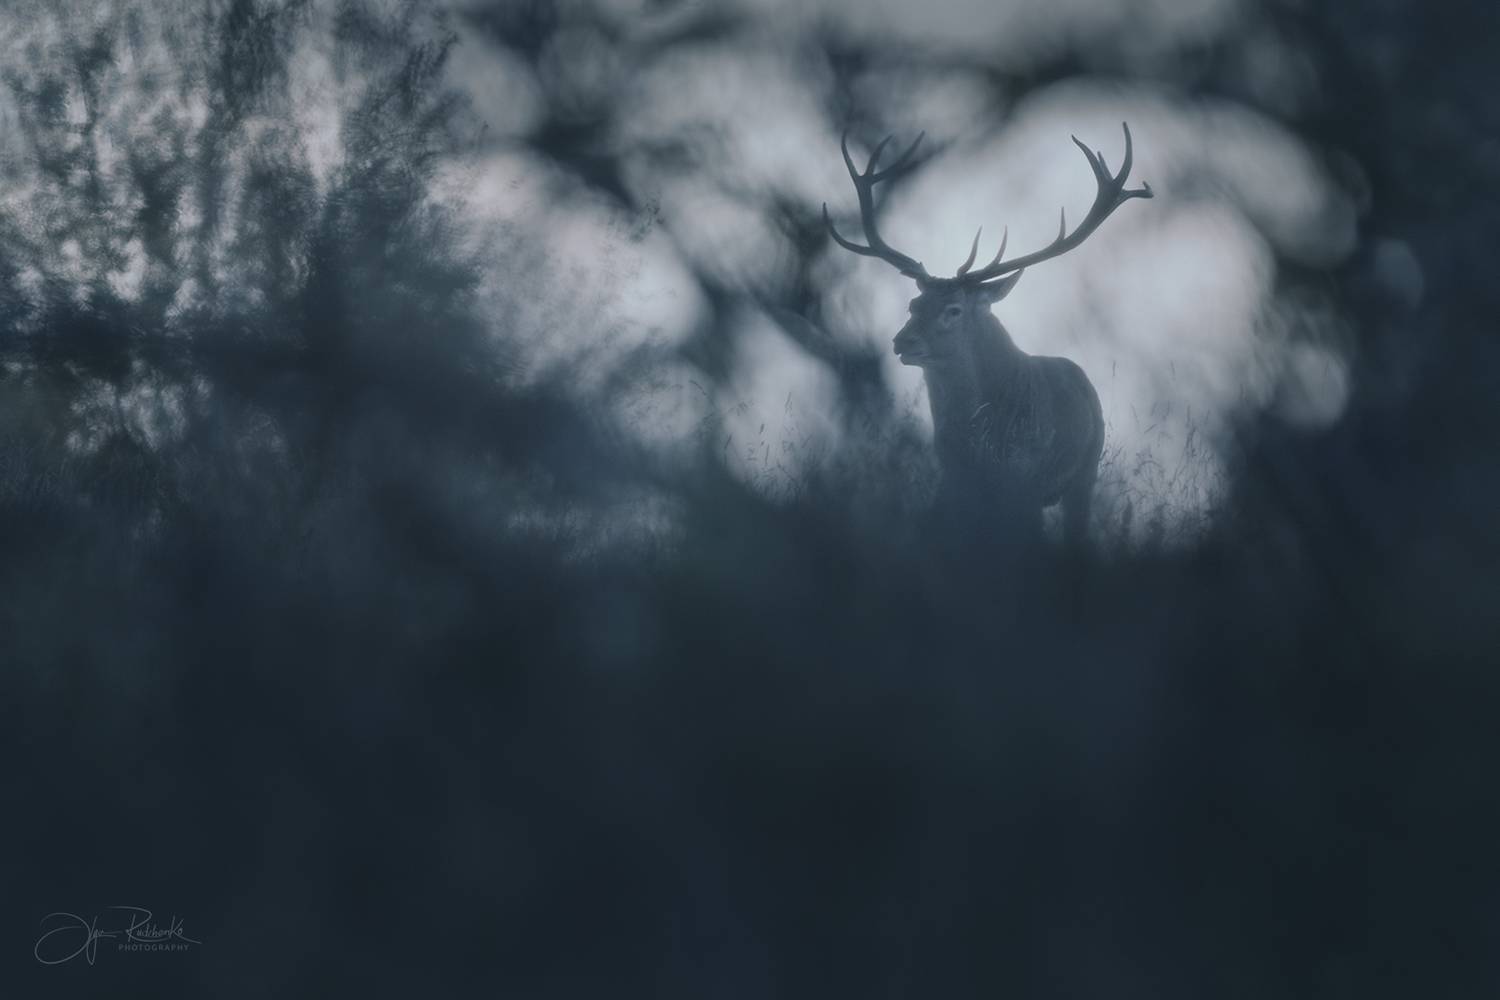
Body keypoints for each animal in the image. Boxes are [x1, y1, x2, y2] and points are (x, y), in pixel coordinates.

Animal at [823, 123, 1152, 542]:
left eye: (954, 310)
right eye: (914, 305)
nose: (902, 341)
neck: (979, 446)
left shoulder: (1022, 481)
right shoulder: (955, 481)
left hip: (1084, 473)